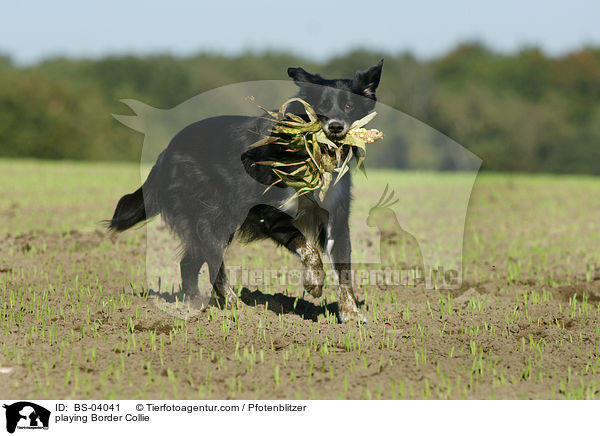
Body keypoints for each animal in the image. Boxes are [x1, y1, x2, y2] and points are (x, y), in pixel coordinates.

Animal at [109, 59, 382, 322]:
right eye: (321, 106)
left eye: (349, 107)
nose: (336, 127)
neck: (311, 154)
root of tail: (167, 151)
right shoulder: (267, 212)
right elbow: (309, 248)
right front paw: (314, 282)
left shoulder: (336, 217)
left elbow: (343, 268)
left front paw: (351, 315)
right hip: (216, 216)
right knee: (212, 260)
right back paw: (233, 306)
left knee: (188, 263)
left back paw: (195, 304)